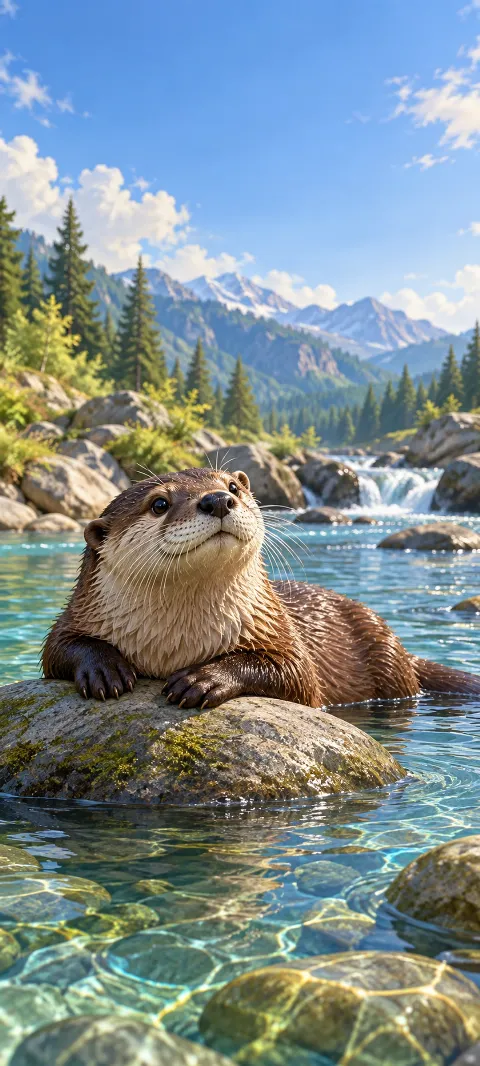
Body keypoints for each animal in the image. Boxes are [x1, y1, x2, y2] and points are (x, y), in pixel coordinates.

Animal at [43, 467, 480, 707]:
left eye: (233, 487)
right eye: (159, 504)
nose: (218, 499)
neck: (175, 644)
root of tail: (402, 651)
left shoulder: (279, 630)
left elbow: (297, 674)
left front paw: (207, 679)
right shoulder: (76, 616)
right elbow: (58, 648)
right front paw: (105, 668)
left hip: (384, 654)